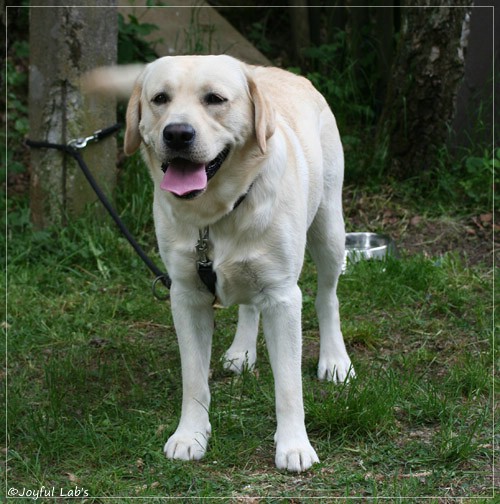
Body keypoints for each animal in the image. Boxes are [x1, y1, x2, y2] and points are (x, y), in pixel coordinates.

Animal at [86, 55, 354, 472]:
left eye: (215, 99)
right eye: (160, 99)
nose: (177, 134)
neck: (215, 215)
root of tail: (276, 70)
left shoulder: (282, 297)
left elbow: (288, 385)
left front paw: (294, 445)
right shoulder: (187, 297)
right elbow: (194, 379)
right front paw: (190, 436)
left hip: (328, 228)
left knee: (328, 297)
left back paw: (335, 359)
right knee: (249, 306)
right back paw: (242, 350)